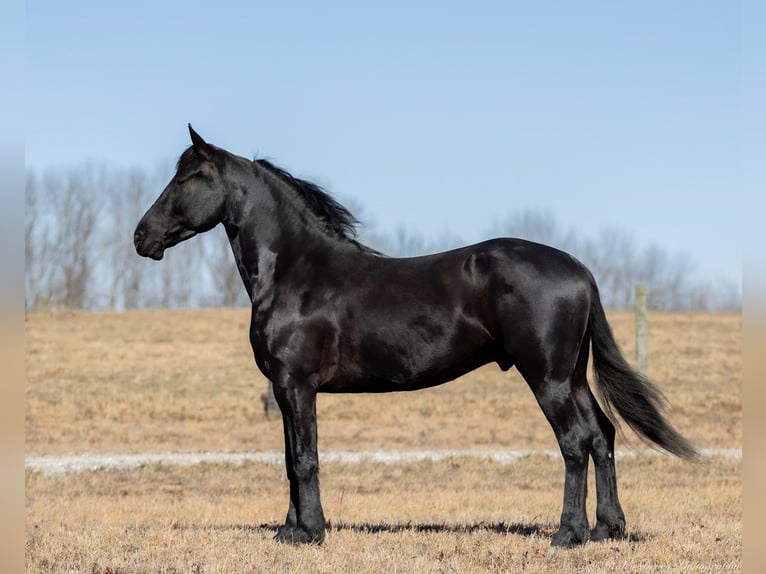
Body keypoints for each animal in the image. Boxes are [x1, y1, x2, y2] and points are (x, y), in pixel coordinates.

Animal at [135, 126, 700, 548]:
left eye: (188, 177)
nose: (142, 237)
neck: (297, 270)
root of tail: (579, 270)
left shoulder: (296, 386)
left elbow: (304, 459)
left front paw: (310, 533)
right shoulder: (285, 390)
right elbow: (291, 462)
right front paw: (289, 530)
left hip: (549, 379)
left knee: (576, 441)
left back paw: (568, 533)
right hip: (571, 375)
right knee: (602, 435)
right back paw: (608, 529)